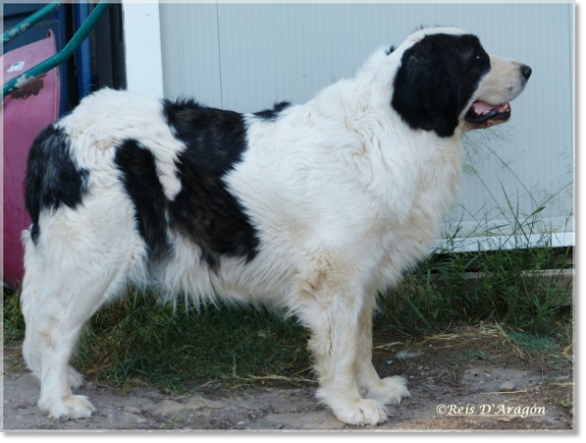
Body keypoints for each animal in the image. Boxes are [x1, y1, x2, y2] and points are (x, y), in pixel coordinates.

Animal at [19, 27, 528, 426]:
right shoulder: (335, 277)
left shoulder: (362, 275)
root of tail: (56, 131)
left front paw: (375, 389)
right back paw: (59, 400)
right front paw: (350, 406)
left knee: (40, 319)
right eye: (476, 59)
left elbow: (362, 341)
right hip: (95, 257)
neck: (393, 125)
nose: (527, 69)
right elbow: (342, 348)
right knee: (55, 328)